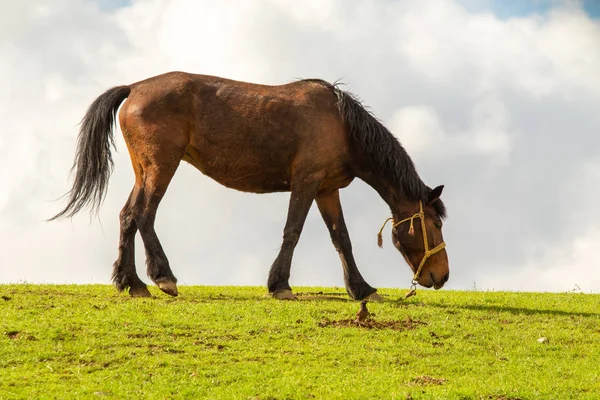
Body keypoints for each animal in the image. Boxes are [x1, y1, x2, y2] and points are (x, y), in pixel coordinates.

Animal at [51, 71, 448, 300]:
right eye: (435, 223)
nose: (441, 276)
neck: (340, 124)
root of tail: (134, 88)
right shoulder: (306, 182)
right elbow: (293, 231)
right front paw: (280, 285)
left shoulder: (326, 189)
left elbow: (342, 239)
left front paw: (361, 289)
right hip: (161, 167)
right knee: (143, 214)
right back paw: (163, 278)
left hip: (144, 170)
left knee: (127, 217)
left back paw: (131, 282)